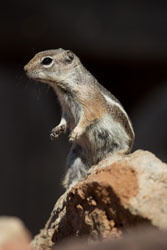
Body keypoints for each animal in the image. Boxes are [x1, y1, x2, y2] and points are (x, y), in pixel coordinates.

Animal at [24, 48, 135, 189]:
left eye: (47, 60)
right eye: (36, 54)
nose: (25, 69)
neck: (63, 87)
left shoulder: (89, 103)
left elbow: (87, 118)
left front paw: (75, 132)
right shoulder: (65, 109)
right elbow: (65, 120)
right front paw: (57, 130)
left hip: (117, 148)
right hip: (76, 158)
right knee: (75, 176)